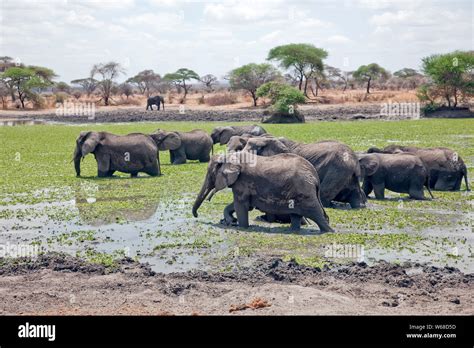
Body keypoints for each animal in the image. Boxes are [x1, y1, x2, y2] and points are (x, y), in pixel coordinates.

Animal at [193, 153, 334, 232]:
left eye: (211, 174)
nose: (196, 216)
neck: (229, 156)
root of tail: (315, 177)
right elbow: (241, 204)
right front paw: (231, 221)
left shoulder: (243, 181)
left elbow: (241, 205)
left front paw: (241, 227)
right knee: (296, 215)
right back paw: (292, 231)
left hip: (304, 191)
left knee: (315, 212)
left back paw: (329, 231)